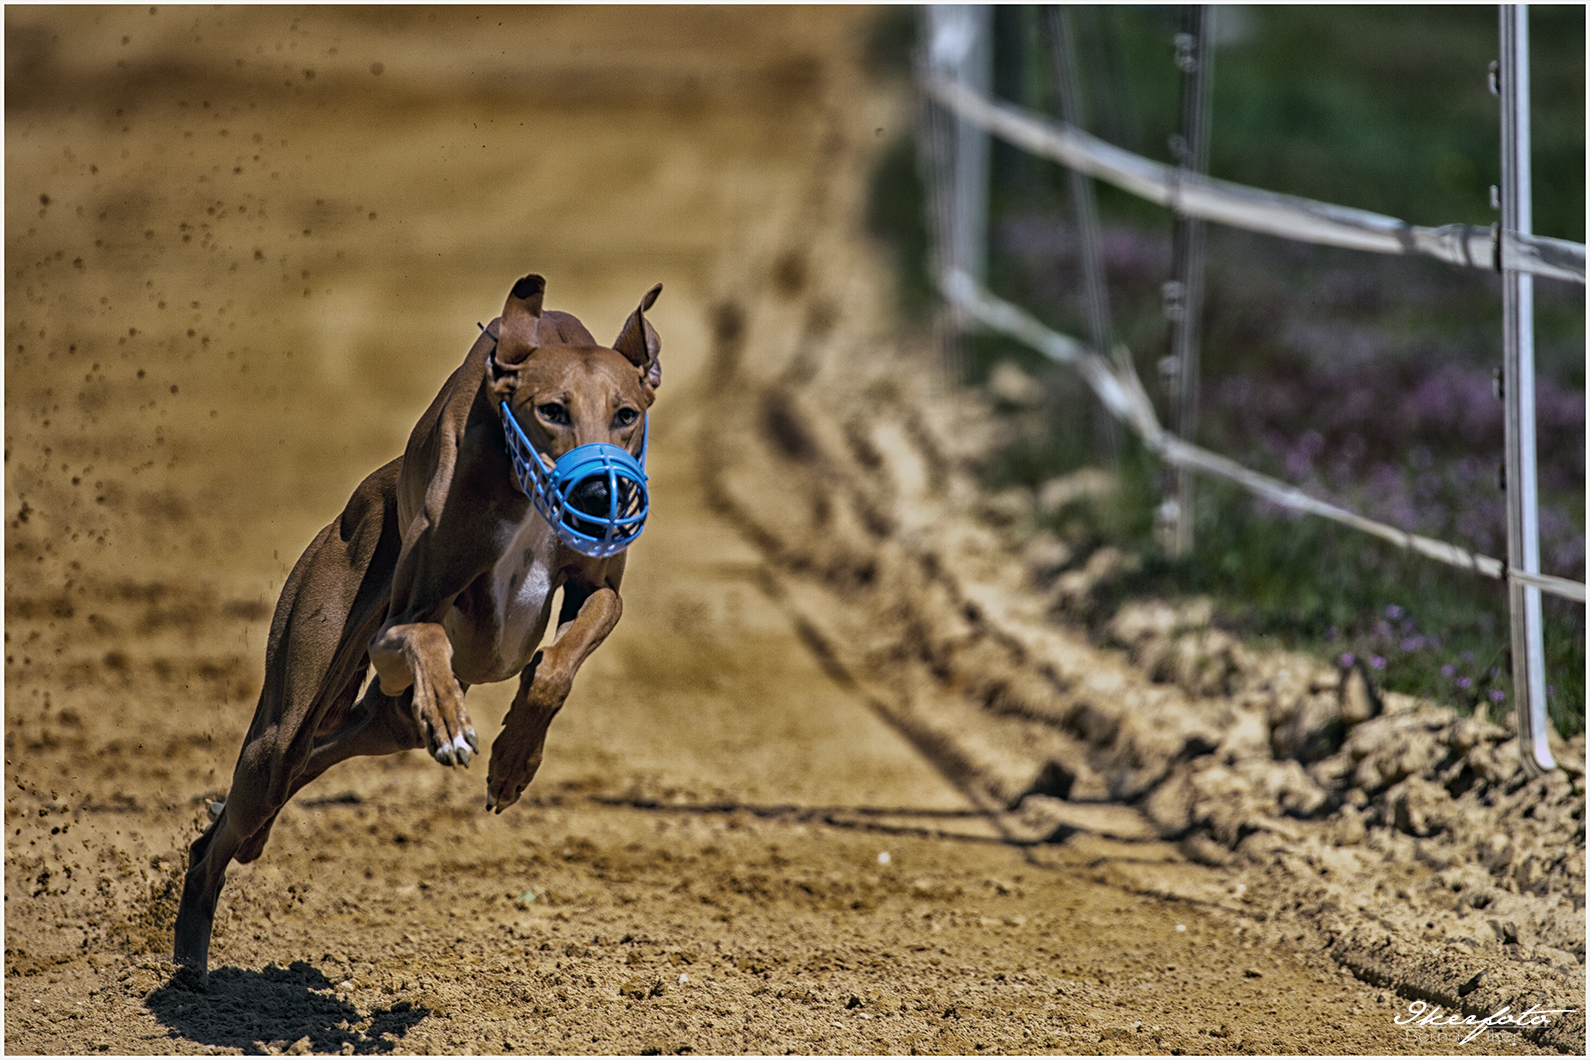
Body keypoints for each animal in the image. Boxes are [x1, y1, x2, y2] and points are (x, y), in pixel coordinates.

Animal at [175, 271, 664, 978]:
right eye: (552, 410)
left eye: (627, 414)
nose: (600, 496)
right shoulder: (398, 628)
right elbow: (427, 632)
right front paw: (457, 724)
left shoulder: (598, 592)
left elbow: (556, 661)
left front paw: (514, 760)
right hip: (289, 720)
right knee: (230, 825)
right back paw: (189, 962)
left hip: (381, 724)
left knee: (281, 786)